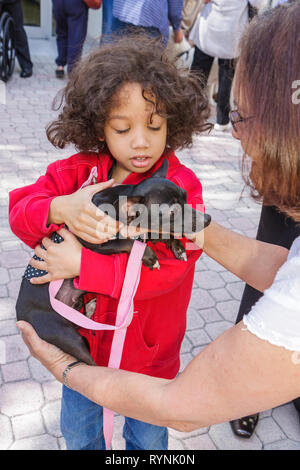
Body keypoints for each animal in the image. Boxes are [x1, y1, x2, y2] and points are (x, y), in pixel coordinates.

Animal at [15, 160, 210, 366]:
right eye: (173, 212)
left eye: (186, 196)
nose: (208, 218)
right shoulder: (96, 243)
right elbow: (128, 243)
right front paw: (151, 257)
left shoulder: (144, 231)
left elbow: (159, 234)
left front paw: (178, 248)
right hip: (68, 337)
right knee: (90, 364)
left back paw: (91, 307)